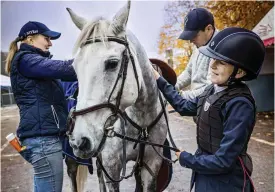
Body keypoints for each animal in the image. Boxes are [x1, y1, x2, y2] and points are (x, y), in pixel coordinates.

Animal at [66, 1, 170, 190]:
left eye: (112, 63)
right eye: (75, 68)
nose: (79, 140)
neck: (140, 123)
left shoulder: (151, 165)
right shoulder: (112, 167)